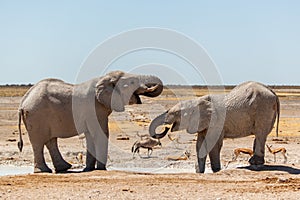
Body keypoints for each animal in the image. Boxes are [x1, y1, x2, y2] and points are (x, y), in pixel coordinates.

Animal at [17, 71, 163, 173]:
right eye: (132, 83)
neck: (105, 78)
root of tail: (23, 101)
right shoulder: (94, 108)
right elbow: (100, 133)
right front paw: (101, 169)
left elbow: (90, 135)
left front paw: (89, 169)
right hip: (36, 116)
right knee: (39, 143)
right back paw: (44, 171)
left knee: (50, 141)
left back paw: (64, 168)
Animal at [149, 82, 280, 173]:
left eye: (180, 113)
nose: (166, 128)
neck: (198, 100)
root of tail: (273, 92)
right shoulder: (203, 123)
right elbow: (199, 144)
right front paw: (199, 172)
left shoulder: (216, 122)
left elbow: (213, 143)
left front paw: (216, 170)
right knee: (259, 135)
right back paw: (253, 162)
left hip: (264, 108)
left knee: (260, 134)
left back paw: (255, 162)